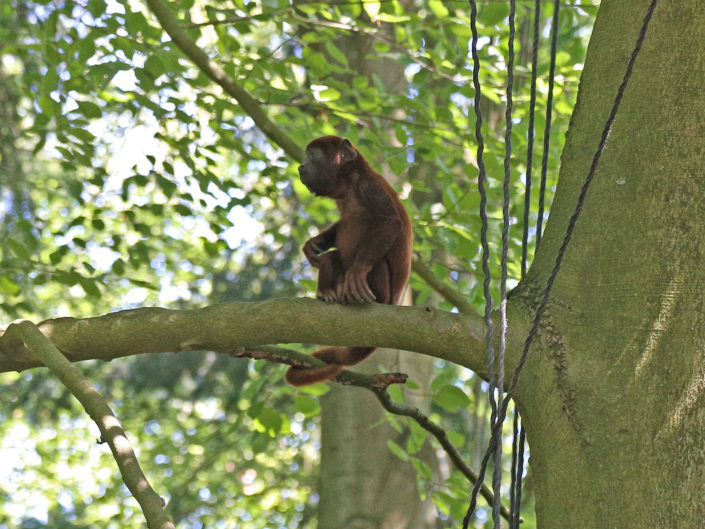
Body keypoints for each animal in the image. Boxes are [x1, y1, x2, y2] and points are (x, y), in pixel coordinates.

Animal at [282, 135, 410, 384]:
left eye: (313, 156)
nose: (301, 166)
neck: (350, 185)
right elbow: (340, 227)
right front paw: (313, 244)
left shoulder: (369, 186)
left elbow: (390, 222)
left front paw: (358, 271)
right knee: (331, 258)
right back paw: (327, 293)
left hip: (384, 293)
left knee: (377, 263)